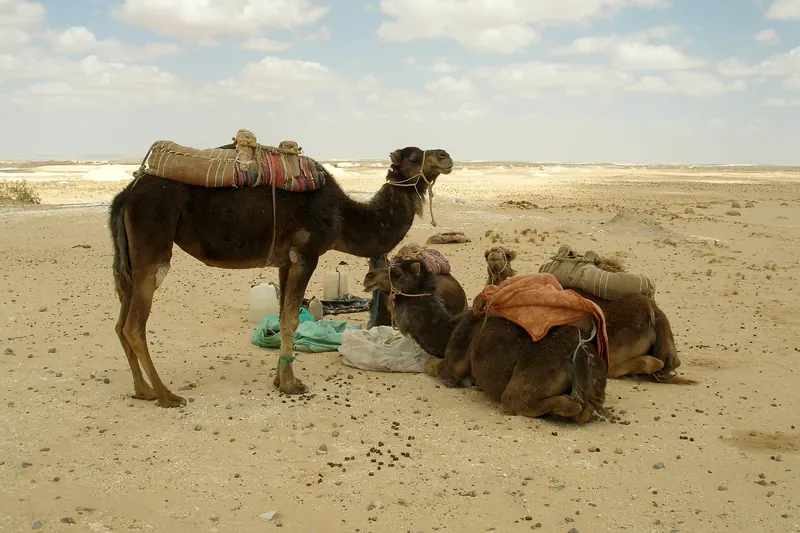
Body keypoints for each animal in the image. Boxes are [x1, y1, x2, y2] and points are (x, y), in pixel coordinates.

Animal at [109, 146, 454, 407]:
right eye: (414, 156)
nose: (445, 156)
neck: (342, 217)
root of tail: (125, 195)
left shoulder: (285, 262)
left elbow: (284, 315)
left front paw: (279, 379)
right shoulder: (306, 254)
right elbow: (291, 318)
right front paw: (291, 384)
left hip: (128, 260)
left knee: (120, 322)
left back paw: (143, 390)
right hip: (152, 249)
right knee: (134, 325)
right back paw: (166, 395)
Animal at [363, 259, 609, 423]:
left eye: (396, 273)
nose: (369, 276)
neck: (449, 329)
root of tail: (580, 357)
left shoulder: (453, 362)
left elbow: (431, 365)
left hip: (529, 380)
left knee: (520, 400)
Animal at [484, 250, 682, 381]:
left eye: (506, 255)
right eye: (487, 255)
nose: (494, 254)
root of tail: (652, 315)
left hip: (616, 344)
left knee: (621, 367)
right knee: (669, 362)